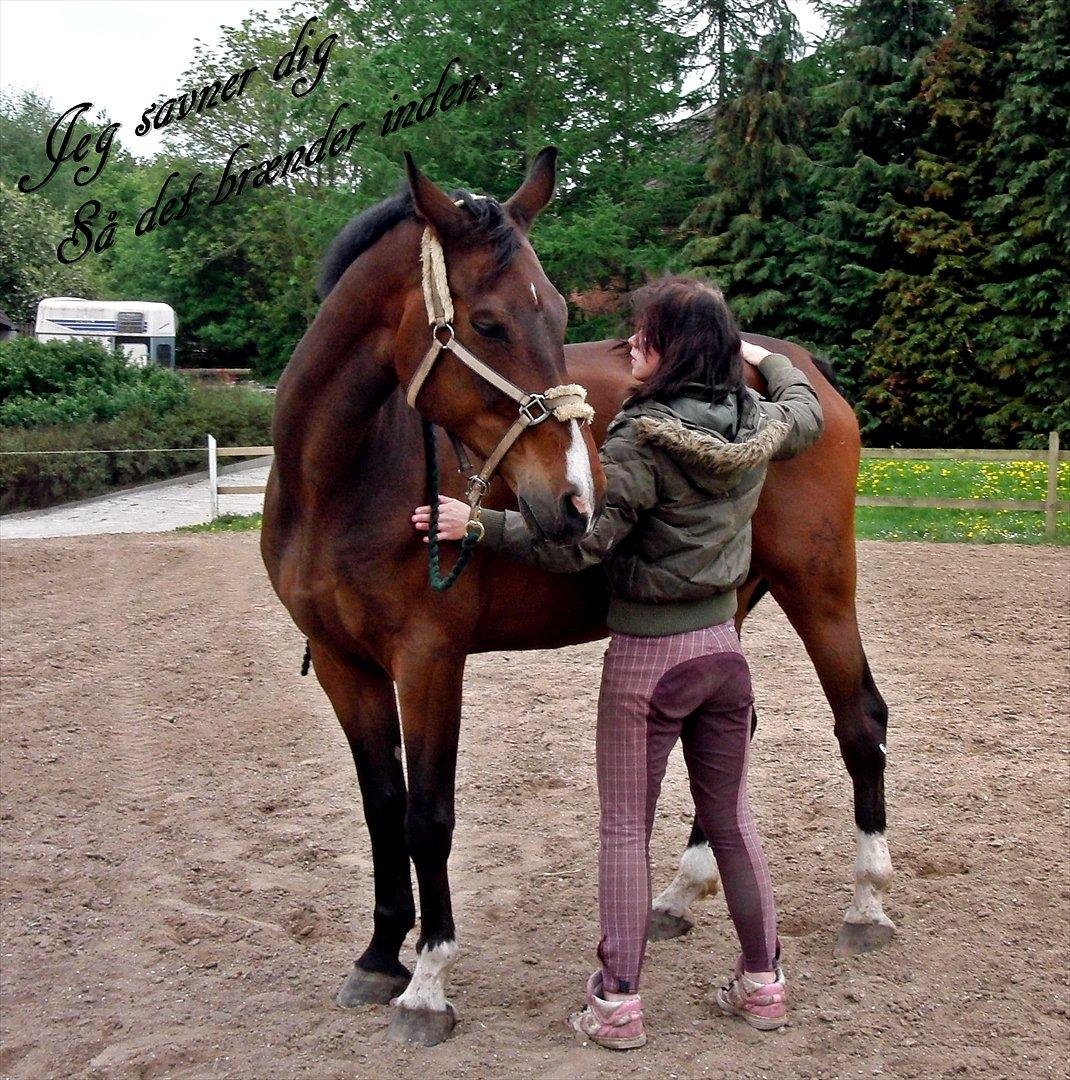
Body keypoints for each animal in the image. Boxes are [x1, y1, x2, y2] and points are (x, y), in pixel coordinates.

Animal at [261, 150, 894, 1045]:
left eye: (559, 315)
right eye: (489, 323)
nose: (573, 500)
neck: (341, 481)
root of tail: (796, 370)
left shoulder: (429, 661)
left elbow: (428, 814)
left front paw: (428, 983)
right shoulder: (346, 666)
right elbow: (383, 807)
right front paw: (380, 957)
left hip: (821, 587)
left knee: (860, 721)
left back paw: (868, 904)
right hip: (729, 601)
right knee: (731, 736)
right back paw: (680, 893)